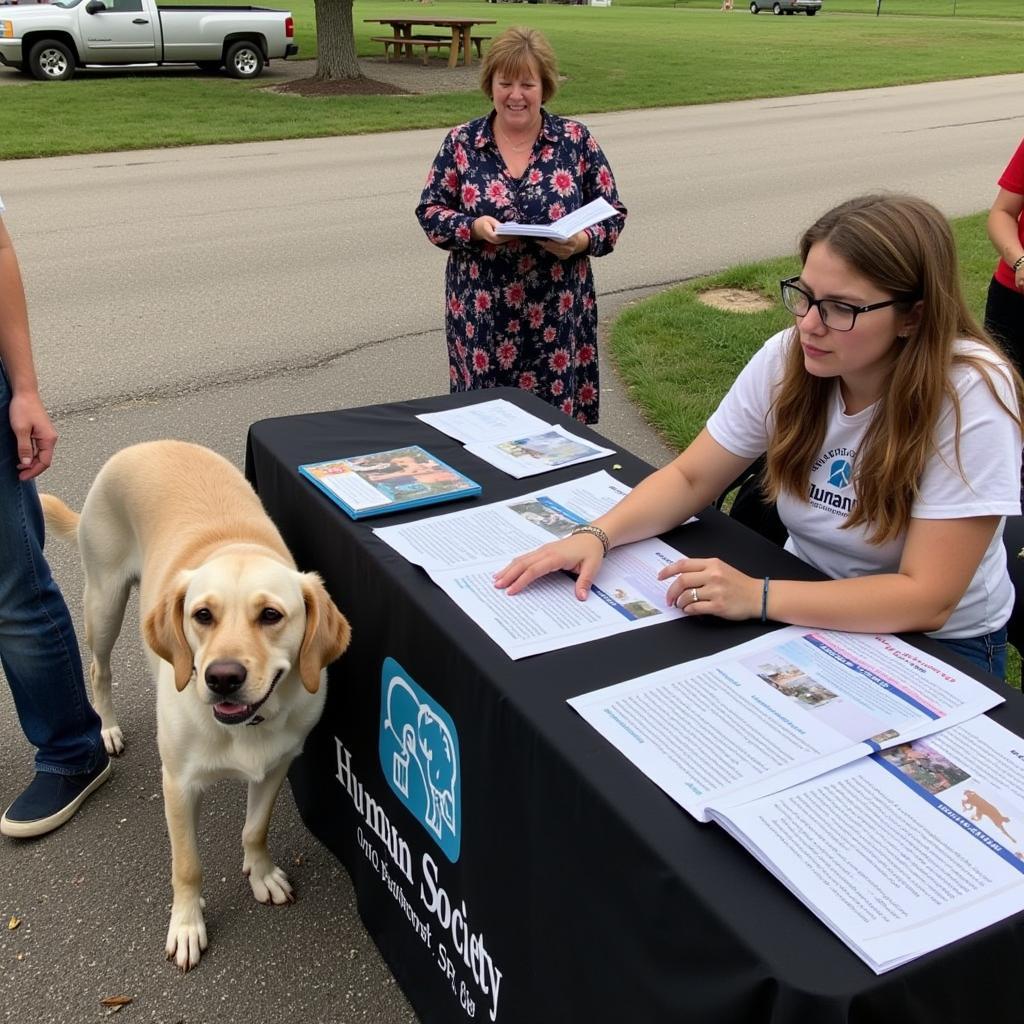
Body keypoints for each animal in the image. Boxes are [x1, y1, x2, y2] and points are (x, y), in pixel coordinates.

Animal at [39, 440, 350, 966]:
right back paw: (106, 728)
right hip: (104, 603)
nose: (222, 678)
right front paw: (187, 924)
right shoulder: (179, 785)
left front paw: (261, 874)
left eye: (271, 615)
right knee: (99, 669)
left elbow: (255, 830)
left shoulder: (276, 766)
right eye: (202, 615)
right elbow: (187, 866)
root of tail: (144, 445)